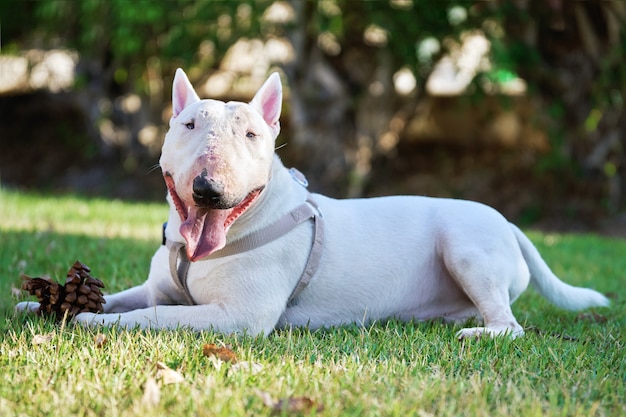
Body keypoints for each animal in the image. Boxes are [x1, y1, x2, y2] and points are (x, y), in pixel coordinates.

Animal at [17, 67, 608, 334]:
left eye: (252, 134)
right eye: (188, 125)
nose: (209, 187)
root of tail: (509, 224)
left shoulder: (239, 317)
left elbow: (154, 317)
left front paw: (89, 322)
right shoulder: (154, 286)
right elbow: (127, 297)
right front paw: (46, 304)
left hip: (465, 247)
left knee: (508, 324)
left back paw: (478, 332)